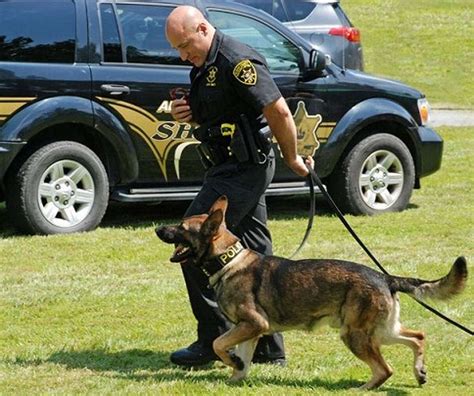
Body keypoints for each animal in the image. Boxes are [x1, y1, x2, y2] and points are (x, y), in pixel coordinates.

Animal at [157, 196, 468, 388]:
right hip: (380, 332)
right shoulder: (250, 330)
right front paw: (236, 376)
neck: (228, 260)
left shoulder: (254, 324)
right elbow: (240, 361)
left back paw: (363, 387)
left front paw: (231, 361)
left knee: (385, 369)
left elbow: (218, 343)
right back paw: (420, 372)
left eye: (181, 227)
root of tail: (385, 277)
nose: (158, 228)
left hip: (355, 335)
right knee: (417, 337)